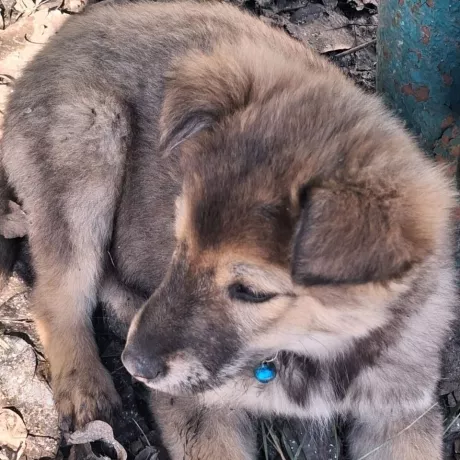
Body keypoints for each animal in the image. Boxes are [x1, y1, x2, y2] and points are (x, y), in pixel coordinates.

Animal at [0, 2, 456, 459]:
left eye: (251, 292)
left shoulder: (400, 413)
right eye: (179, 242)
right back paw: (84, 384)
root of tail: (61, 35)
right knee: (59, 294)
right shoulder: (197, 408)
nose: (135, 365)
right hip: (90, 149)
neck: (316, 347)